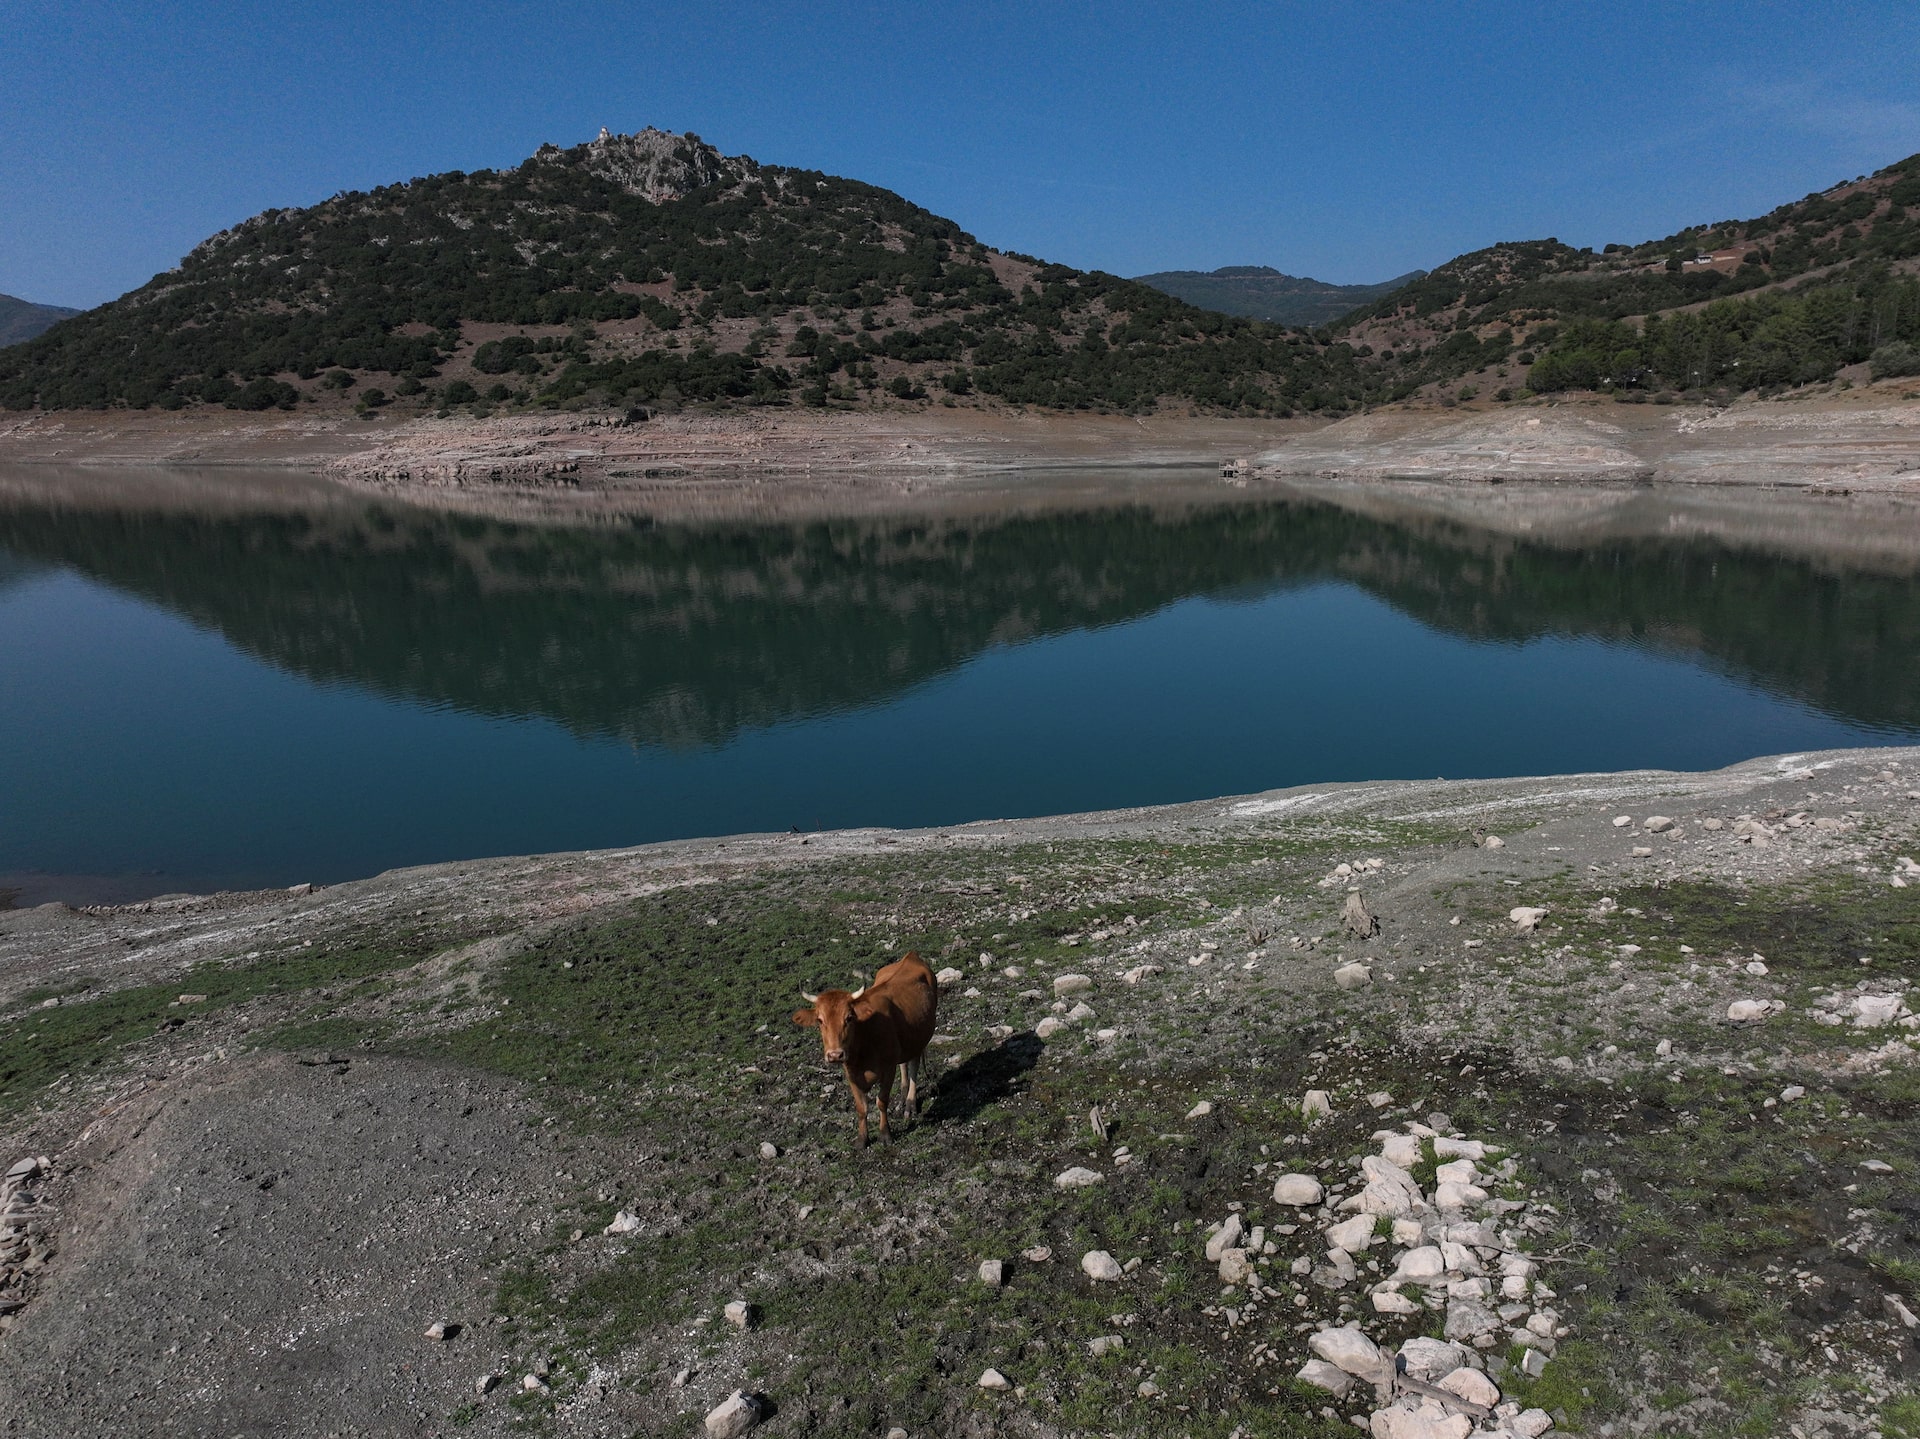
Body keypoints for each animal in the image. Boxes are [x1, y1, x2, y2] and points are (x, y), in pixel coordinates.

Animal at [794, 952, 936, 1145]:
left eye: (849, 1018)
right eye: (820, 1020)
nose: (835, 1055)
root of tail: (911, 956)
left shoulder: (888, 1068)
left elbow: (881, 1101)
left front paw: (885, 1135)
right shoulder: (851, 1073)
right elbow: (861, 1108)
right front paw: (862, 1139)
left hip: (920, 1038)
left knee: (913, 1065)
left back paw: (910, 1104)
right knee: (905, 1064)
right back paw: (902, 1099)